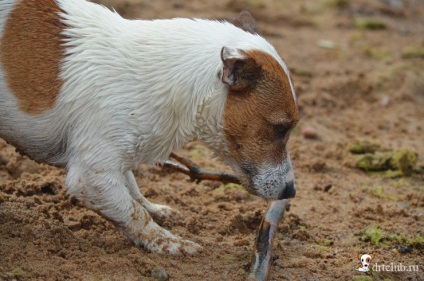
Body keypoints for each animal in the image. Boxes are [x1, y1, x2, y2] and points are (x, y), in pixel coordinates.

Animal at [0, 0, 298, 254]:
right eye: (281, 128)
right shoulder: (89, 177)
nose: (291, 192)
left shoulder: (116, 158)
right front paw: (168, 242)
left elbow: (133, 190)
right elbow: (134, 212)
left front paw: (155, 209)